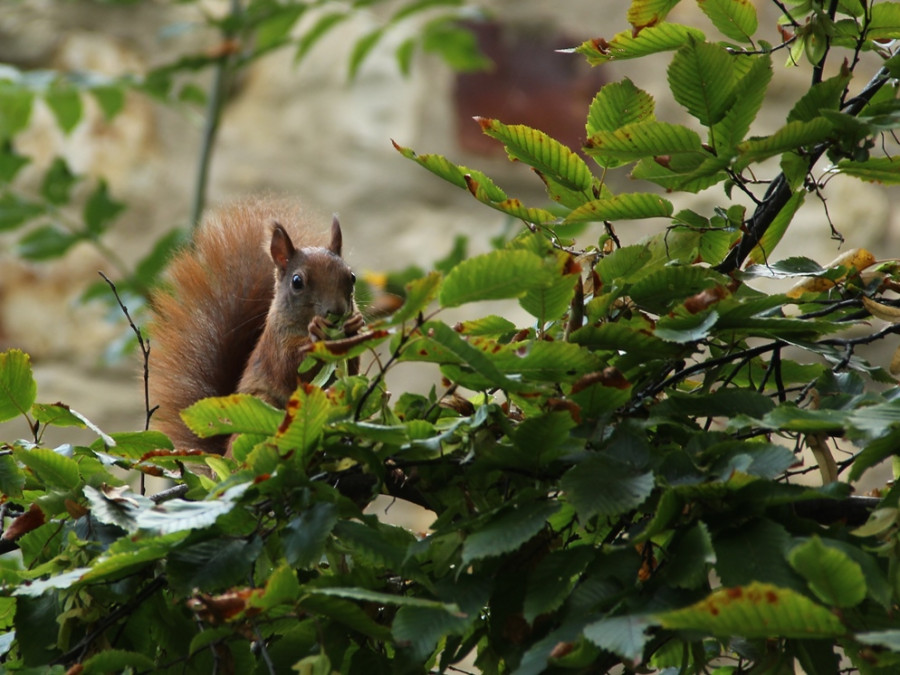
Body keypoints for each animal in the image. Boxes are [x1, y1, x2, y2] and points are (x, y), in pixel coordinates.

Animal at [148, 198, 362, 456]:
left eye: (351, 277)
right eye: (297, 282)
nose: (338, 311)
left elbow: (352, 367)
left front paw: (355, 325)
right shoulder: (275, 345)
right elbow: (289, 367)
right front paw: (316, 332)